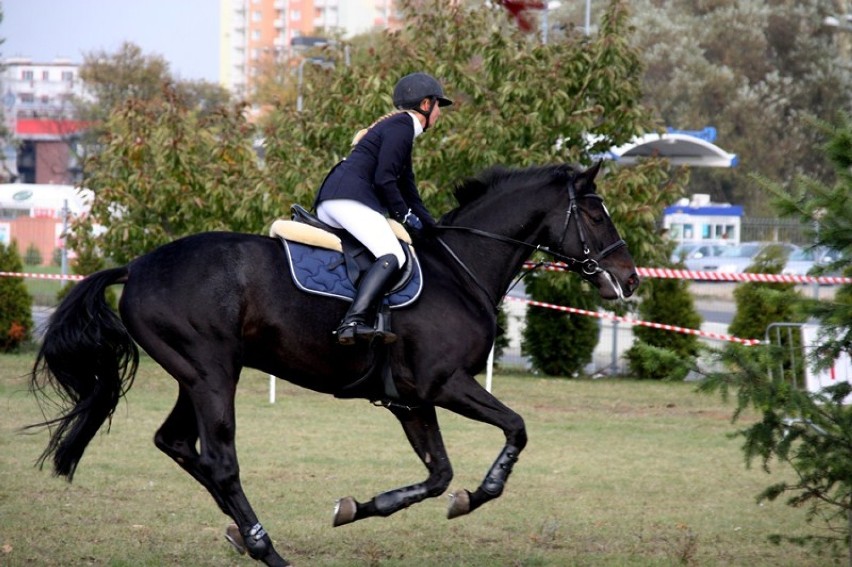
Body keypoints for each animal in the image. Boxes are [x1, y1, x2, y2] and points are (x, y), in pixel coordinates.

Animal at [28, 161, 640, 567]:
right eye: (594, 213)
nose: (630, 280)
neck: (459, 269)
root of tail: (136, 267)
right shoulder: (445, 384)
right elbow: (515, 429)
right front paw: (480, 493)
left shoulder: (411, 401)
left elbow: (437, 476)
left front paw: (359, 507)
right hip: (212, 375)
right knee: (220, 462)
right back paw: (265, 548)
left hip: (194, 376)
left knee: (178, 445)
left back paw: (239, 532)